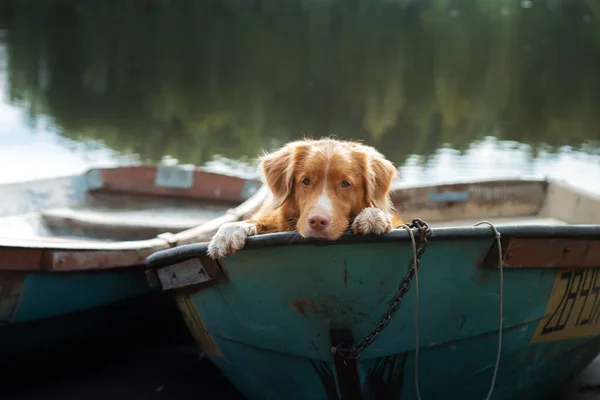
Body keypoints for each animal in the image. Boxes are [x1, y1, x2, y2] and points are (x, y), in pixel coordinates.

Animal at [207, 139, 404, 260]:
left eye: (345, 184)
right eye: (306, 181)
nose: (317, 221)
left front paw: (372, 215)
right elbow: (257, 221)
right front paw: (230, 231)